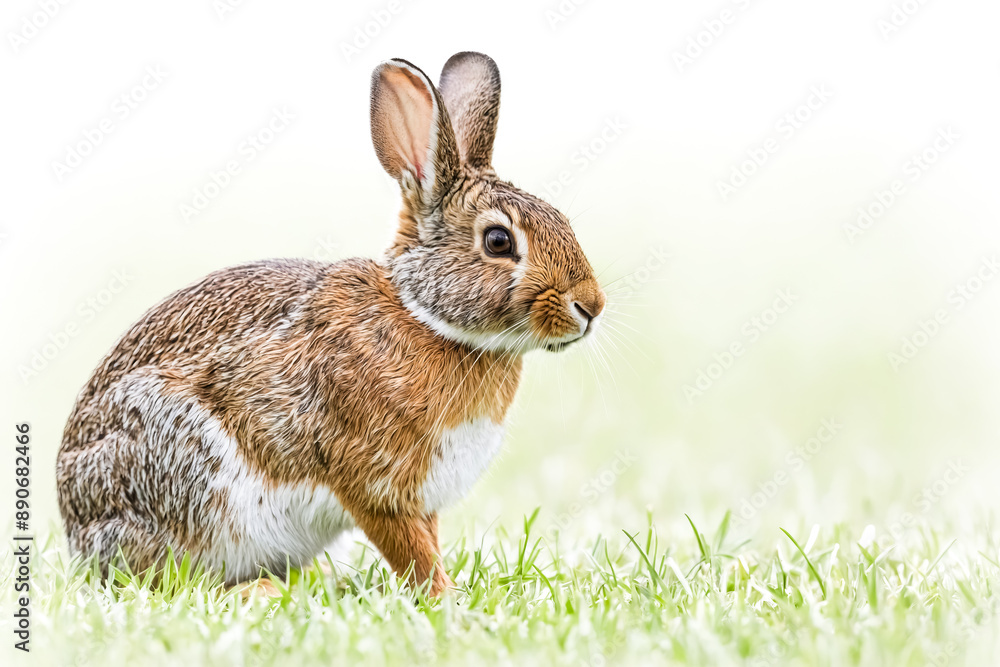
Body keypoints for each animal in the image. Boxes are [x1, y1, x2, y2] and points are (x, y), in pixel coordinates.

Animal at [56, 52, 606, 596]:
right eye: (498, 241)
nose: (591, 306)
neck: (423, 315)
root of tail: (78, 530)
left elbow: (427, 540)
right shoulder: (374, 485)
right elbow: (411, 551)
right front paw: (446, 598)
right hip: (182, 475)